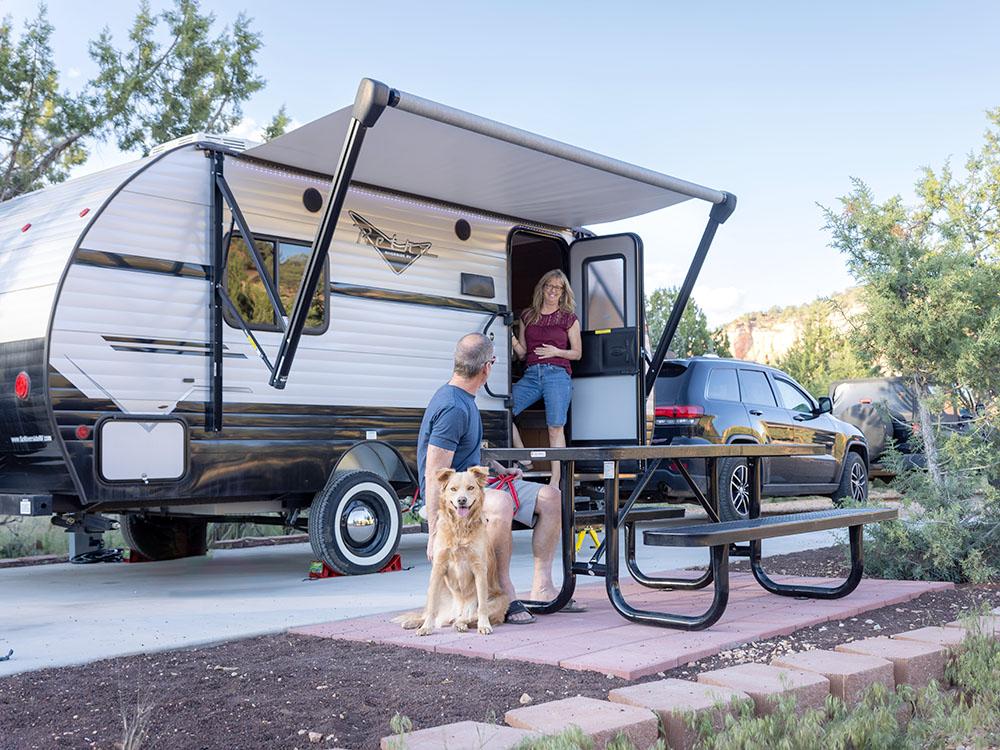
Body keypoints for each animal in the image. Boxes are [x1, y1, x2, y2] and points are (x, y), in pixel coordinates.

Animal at [396, 468, 508, 636]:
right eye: (453, 489)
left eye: (470, 488)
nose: (461, 500)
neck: (460, 528)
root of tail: (456, 612)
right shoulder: (438, 567)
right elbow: (432, 607)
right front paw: (425, 628)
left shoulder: (479, 568)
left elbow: (482, 606)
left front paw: (484, 625)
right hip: (437, 587)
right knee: (434, 614)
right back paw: (415, 622)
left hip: (501, 600)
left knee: (468, 617)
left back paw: (461, 623)